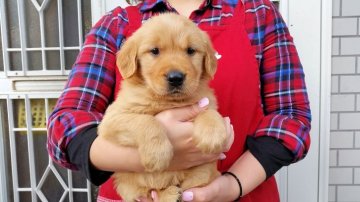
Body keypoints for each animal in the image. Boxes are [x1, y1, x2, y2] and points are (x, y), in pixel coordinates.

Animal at [97, 13, 228, 202]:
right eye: (154, 51)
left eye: (190, 50)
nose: (176, 78)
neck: (167, 101)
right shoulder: (112, 119)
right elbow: (146, 121)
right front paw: (157, 154)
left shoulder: (205, 100)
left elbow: (208, 110)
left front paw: (213, 135)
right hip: (130, 187)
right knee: (151, 192)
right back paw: (169, 194)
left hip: (202, 173)